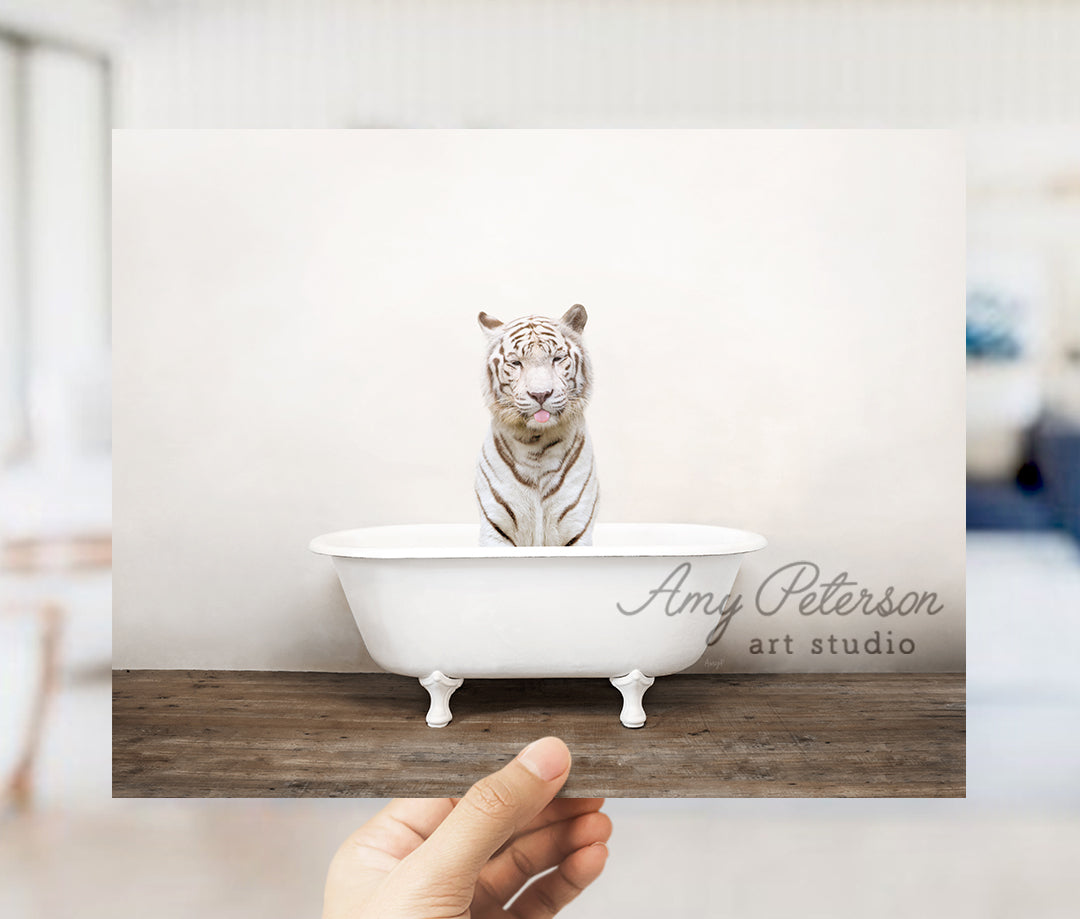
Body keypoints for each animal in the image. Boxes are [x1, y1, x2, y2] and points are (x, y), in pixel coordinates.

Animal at [477, 304, 600, 546]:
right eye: (516, 363)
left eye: (557, 358)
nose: (540, 394)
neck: (536, 444)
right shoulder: (495, 527)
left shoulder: (577, 527)